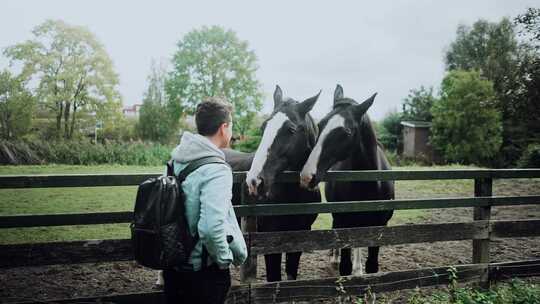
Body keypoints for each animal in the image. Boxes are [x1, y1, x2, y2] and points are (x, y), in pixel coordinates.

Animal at [300, 85, 392, 276]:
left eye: (347, 132)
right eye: (320, 125)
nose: (307, 176)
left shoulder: (380, 227)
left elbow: (372, 266)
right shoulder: (344, 222)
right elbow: (345, 265)